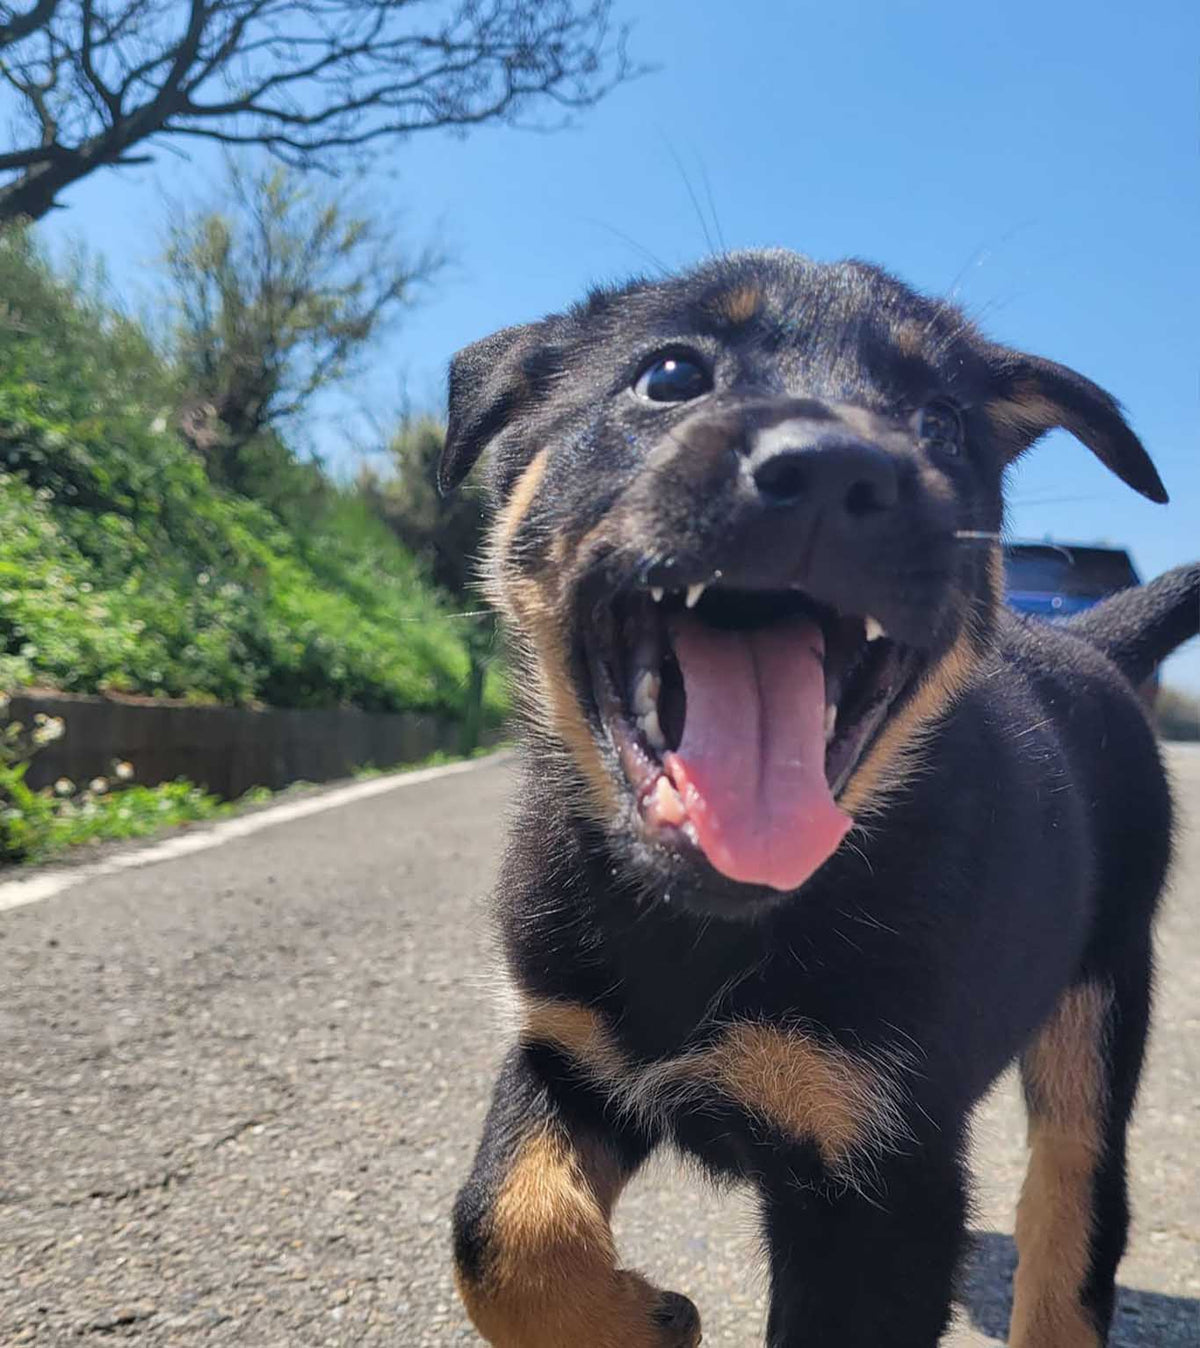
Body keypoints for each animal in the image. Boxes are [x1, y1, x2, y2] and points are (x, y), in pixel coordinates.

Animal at [439, 248, 1197, 1342]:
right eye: (670, 375)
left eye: (940, 424)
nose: (840, 471)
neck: (705, 928)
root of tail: (1089, 640)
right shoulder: (569, 1049)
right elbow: (500, 1231)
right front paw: (644, 1317)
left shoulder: (885, 1180)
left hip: (1100, 1005)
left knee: (1074, 1212)